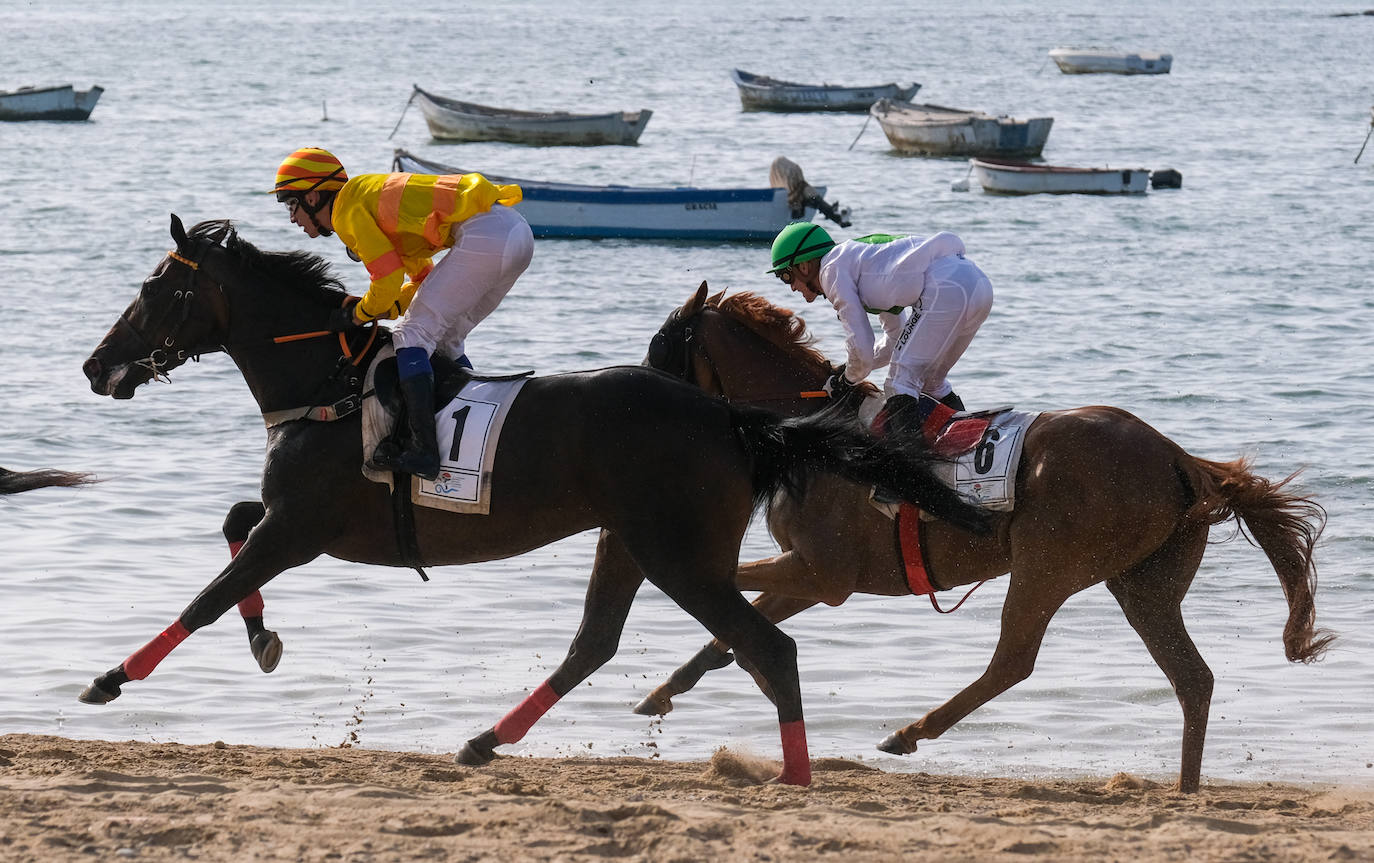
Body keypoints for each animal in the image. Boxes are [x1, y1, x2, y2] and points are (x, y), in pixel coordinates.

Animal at [76, 216, 991, 786]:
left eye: (154, 289)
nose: (95, 366)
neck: (328, 384)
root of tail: (730, 415)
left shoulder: (302, 527)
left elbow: (205, 595)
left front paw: (112, 678)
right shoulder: (292, 522)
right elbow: (230, 533)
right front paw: (265, 638)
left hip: (679, 555)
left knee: (768, 646)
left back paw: (793, 775)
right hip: (628, 540)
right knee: (597, 642)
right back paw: (484, 740)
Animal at [635, 283, 1334, 793]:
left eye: (661, 343)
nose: (638, 395)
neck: (808, 435)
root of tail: (1179, 459)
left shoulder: (822, 574)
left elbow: (718, 596)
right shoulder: (807, 575)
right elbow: (727, 635)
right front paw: (660, 696)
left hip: (1046, 565)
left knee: (1014, 661)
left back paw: (908, 732)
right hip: (1144, 587)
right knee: (1193, 678)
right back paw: (1186, 790)